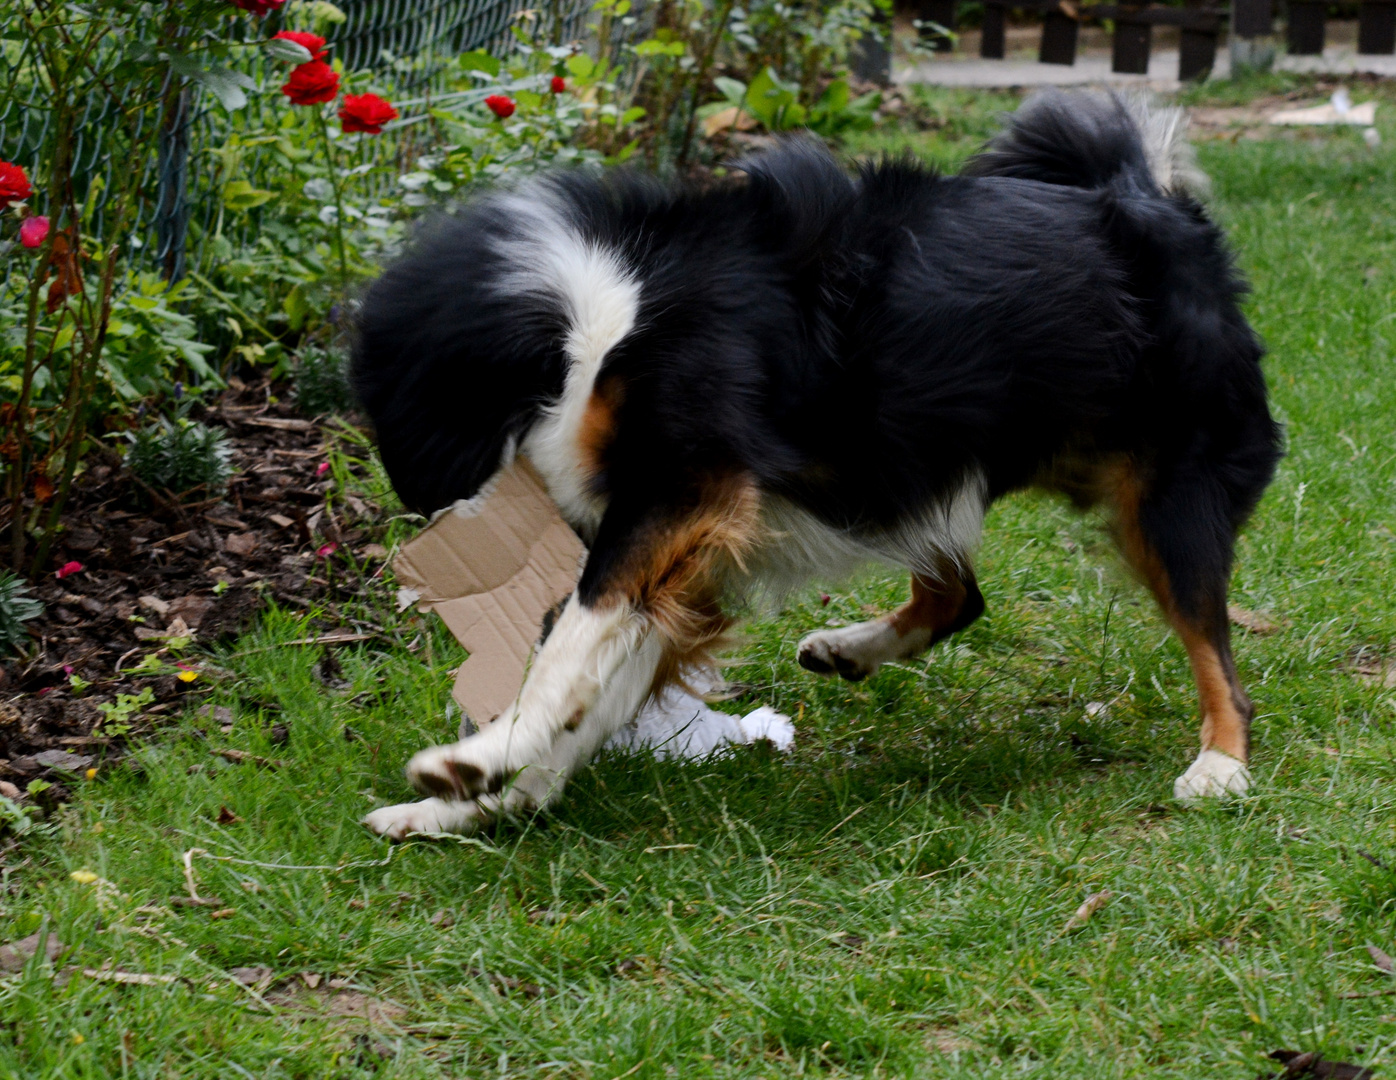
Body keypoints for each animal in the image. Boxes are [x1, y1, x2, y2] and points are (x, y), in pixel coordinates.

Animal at [354, 88, 1278, 842]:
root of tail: (1156, 204)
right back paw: (849, 648)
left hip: (1166, 497)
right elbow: (594, 676)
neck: (592, 318)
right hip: (918, 469)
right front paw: (484, 802)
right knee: (960, 594)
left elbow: (571, 638)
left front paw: (477, 762)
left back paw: (1221, 766)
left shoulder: (685, 487)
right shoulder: (682, 540)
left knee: (1217, 657)